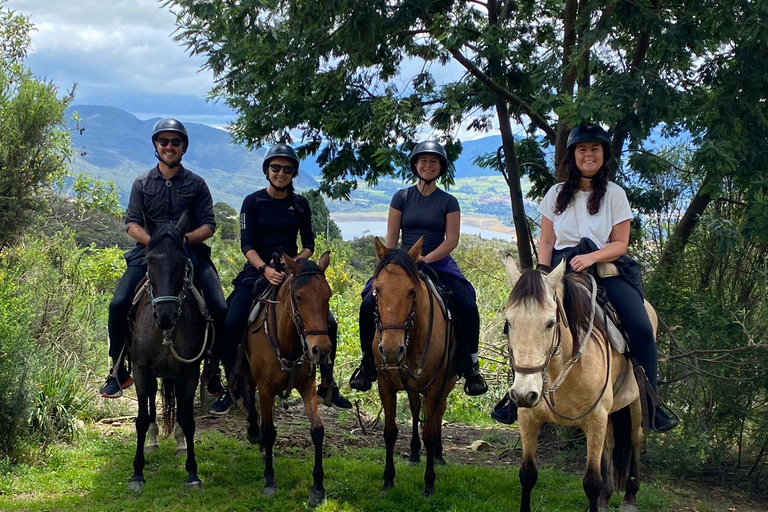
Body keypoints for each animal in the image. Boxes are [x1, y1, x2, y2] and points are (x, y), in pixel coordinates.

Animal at [127, 213, 210, 492]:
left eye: (183, 261)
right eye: (150, 260)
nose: (165, 316)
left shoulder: (189, 372)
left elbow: (188, 420)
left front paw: (193, 473)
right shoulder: (141, 370)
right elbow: (141, 419)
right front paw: (137, 473)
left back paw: (180, 444)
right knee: (152, 400)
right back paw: (153, 442)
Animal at [244, 250, 332, 506]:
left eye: (328, 296)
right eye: (299, 298)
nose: (320, 350)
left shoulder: (307, 386)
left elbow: (317, 430)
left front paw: (317, 487)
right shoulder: (266, 388)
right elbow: (270, 431)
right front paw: (269, 480)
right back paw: (254, 433)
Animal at [370, 238, 456, 498]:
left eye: (411, 291)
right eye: (377, 290)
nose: (390, 350)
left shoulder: (435, 386)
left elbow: (430, 431)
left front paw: (429, 483)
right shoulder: (385, 385)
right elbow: (390, 431)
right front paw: (388, 479)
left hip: (446, 385)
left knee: (437, 416)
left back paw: (438, 455)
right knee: (416, 408)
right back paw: (415, 453)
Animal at [504, 256, 648, 512]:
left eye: (550, 323)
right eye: (508, 322)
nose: (523, 394)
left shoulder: (595, 418)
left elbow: (591, 482)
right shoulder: (528, 417)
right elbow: (527, 475)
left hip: (635, 403)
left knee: (636, 437)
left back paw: (630, 497)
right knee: (610, 442)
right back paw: (605, 498)